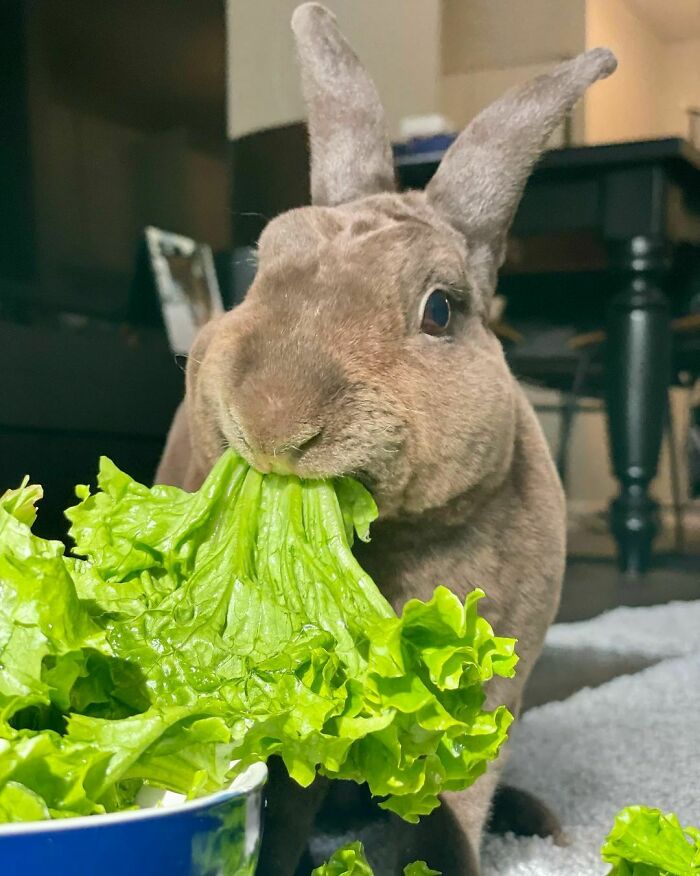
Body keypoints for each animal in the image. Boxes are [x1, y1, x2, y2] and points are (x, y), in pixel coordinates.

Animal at [155, 4, 617, 874]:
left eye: (440, 310)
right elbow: (288, 800)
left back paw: (540, 823)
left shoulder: (485, 704)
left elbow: (454, 801)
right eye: (260, 269)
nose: (271, 416)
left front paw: (452, 860)